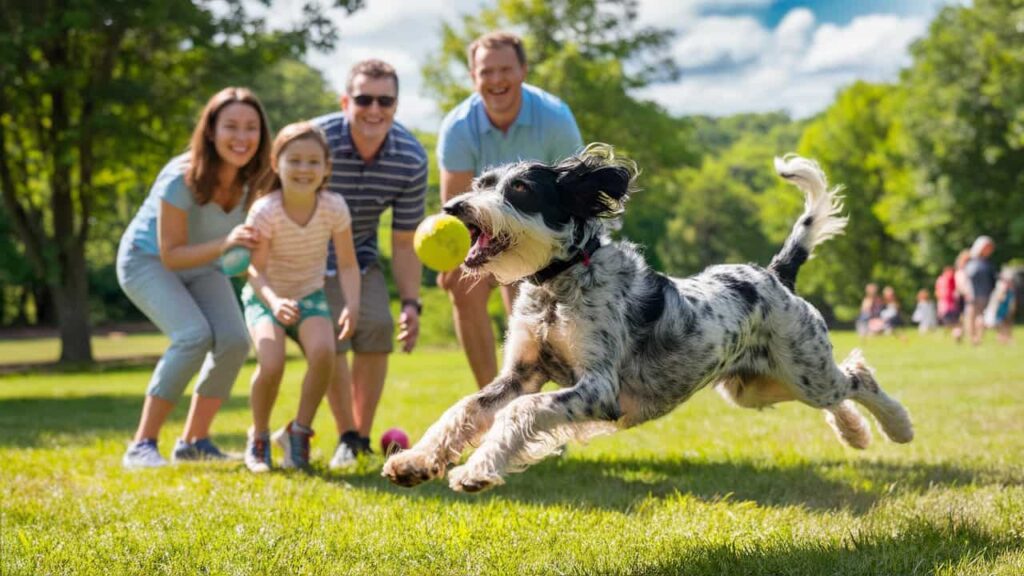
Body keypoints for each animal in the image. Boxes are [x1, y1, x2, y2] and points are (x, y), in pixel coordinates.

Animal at [382, 145, 913, 491]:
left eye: (520, 188)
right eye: (479, 186)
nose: (453, 207)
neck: (558, 285)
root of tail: (773, 274)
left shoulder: (597, 387)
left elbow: (520, 413)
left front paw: (475, 470)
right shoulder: (521, 373)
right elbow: (465, 409)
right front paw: (415, 461)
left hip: (804, 371)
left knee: (858, 378)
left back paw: (899, 426)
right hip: (756, 388)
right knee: (840, 395)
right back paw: (856, 434)